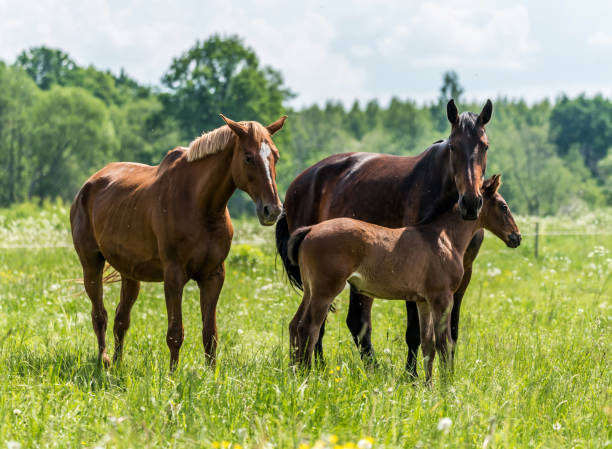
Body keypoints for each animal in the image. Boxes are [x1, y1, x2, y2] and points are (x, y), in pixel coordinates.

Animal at [278, 99, 492, 374]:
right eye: (453, 146)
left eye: (484, 145)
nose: (471, 203)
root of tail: (298, 183)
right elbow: (415, 332)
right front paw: (411, 375)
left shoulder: (464, 274)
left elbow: (452, 331)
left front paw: (450, 372)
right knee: (323, 323)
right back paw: (326, 369)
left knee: (348, 322)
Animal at [288, 174, 520, 378]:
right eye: (503, 206)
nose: (516, 237)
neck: (443, 239)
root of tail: (310, 230)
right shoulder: (442, 297)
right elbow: (444, 343)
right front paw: (447, 385)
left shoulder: (423, 301)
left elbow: (428, 345)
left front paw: (428, 386)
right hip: (325, 291)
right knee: (309, 328)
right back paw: (307, 375)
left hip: (310, 290)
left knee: (295, 325)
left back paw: (293, 373)